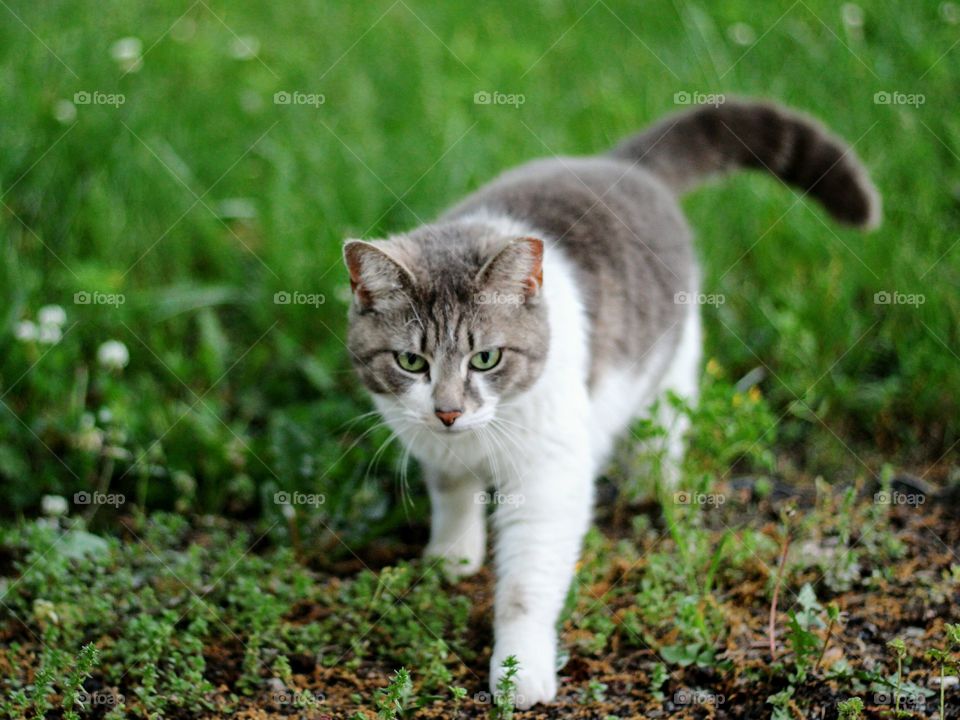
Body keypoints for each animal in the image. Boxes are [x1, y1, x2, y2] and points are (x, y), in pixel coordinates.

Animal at [342, 101, 880, 708]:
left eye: (486, 358)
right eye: (411, 362)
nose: (448, 412)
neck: (480, 436)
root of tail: (622, 165)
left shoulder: (550, 474)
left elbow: (527, 583)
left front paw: (519, 672)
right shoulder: (434, 447)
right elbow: (453, 496)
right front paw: (452, 557)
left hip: (672, 364)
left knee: (664, 430)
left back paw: (651, 487)